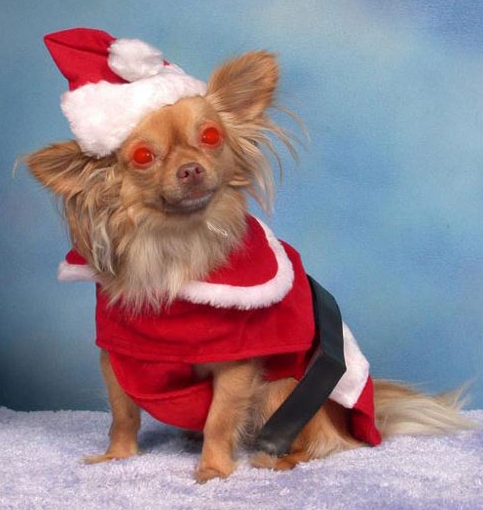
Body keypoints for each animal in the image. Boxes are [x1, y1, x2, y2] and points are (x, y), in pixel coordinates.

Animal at [26, 29, 474, 483]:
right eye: (142, 157)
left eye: (210, 136)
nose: (190, 169)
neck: (177, 245)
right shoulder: (116, 356)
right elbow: (123, 414)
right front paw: (117, 457)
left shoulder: (236, 365)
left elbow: (220, 419)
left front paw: (213, 469)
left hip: (285, 389)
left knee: (325, 443)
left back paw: (275, 460)